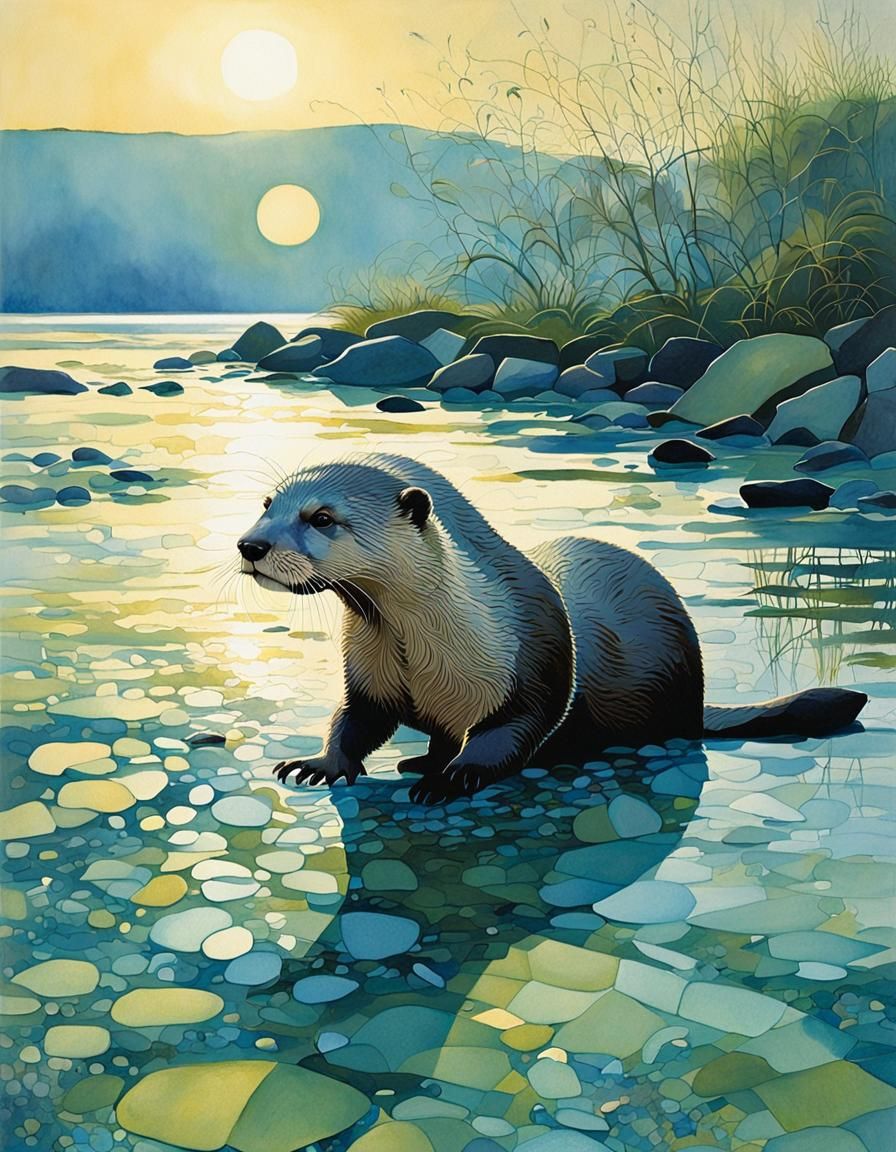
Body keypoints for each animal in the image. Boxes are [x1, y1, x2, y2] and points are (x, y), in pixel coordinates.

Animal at [237, 453, 867, 804]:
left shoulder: (532, 661)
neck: (423, 651)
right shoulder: (368, 676)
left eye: (322, 517)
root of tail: (697, 699)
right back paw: (422, 758)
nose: (250, 545)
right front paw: (319, 765)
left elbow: (513, 729)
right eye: (267, 502)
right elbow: (354, 720)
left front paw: (452, 778)